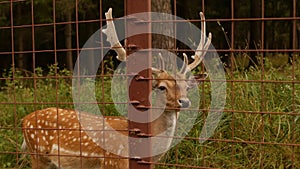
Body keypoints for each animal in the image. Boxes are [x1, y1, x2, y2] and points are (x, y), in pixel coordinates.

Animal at [21, 7, 212, 169]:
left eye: (187, 87)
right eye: (162, 87)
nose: (184, 101)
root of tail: (24, 120)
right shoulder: (113, 161)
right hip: (37, 155)